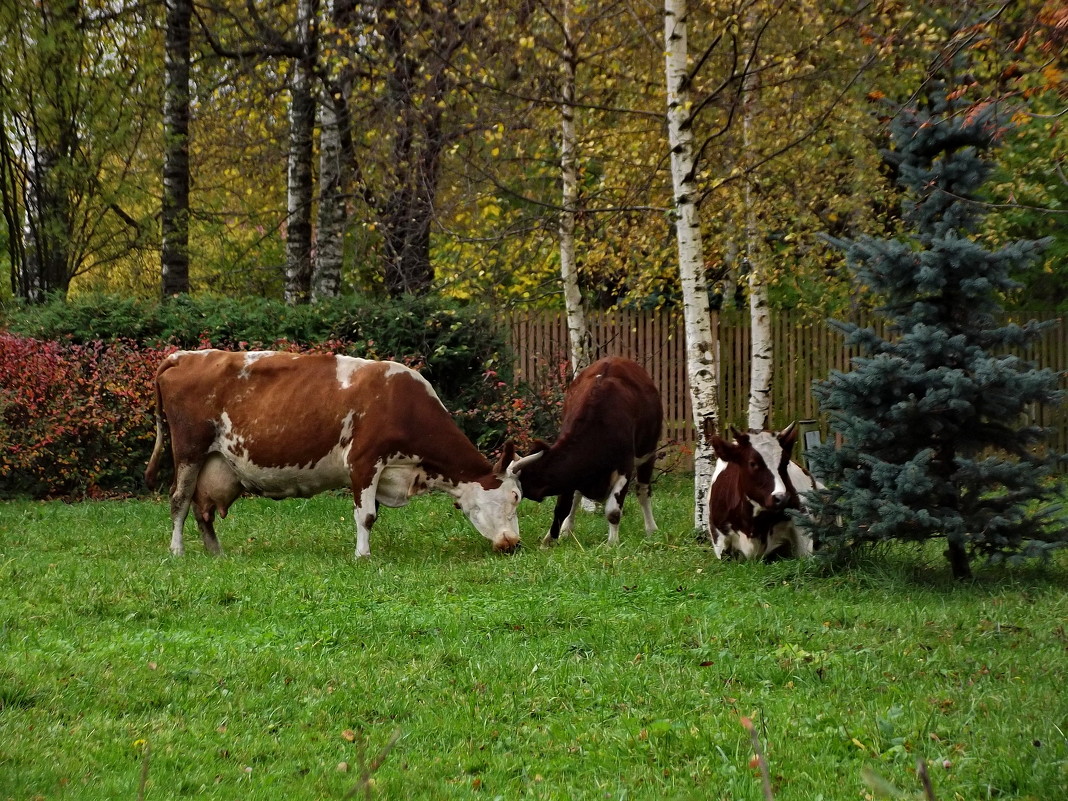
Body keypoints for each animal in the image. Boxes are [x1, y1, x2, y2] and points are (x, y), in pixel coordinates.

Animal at [142, 350, 525, 559]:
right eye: (515, 496)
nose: (514, 544)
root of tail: (184, 356)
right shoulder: (364, 461)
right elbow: (366, 516)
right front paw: (362, 555)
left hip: (214, 461)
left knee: (201, 508)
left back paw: (216, 553)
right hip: (189, 450)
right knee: (179, 499)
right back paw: (177, 551)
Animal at [506, 356, 657, 546]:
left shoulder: (625, 467)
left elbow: (613, 511)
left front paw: (612, 543)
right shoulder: (569, 475)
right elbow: (562, 507)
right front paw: (550, 540)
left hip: (648, 454)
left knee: (643, 491)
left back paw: (651, 529)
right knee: (577, 497)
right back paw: (567, 529)